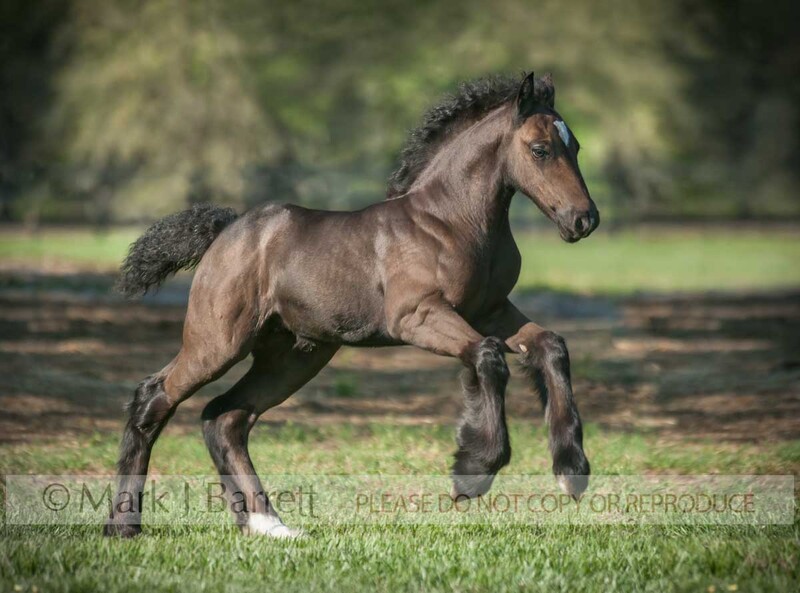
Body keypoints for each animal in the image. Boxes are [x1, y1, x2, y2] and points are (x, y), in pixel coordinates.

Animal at [104, 71, 599, 538]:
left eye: (575, 146)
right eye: (540, 149)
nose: (584, 220)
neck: (450, 221)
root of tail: (226, 231)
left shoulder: (492, 310)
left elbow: (552, 346)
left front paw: (571, 469)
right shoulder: (418, 316)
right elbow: (487, 357)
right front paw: (472, 471)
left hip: (294, 356)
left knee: (225, 417)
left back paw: (269, 525)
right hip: (217, 342)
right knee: (154, 399)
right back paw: (124, 525)